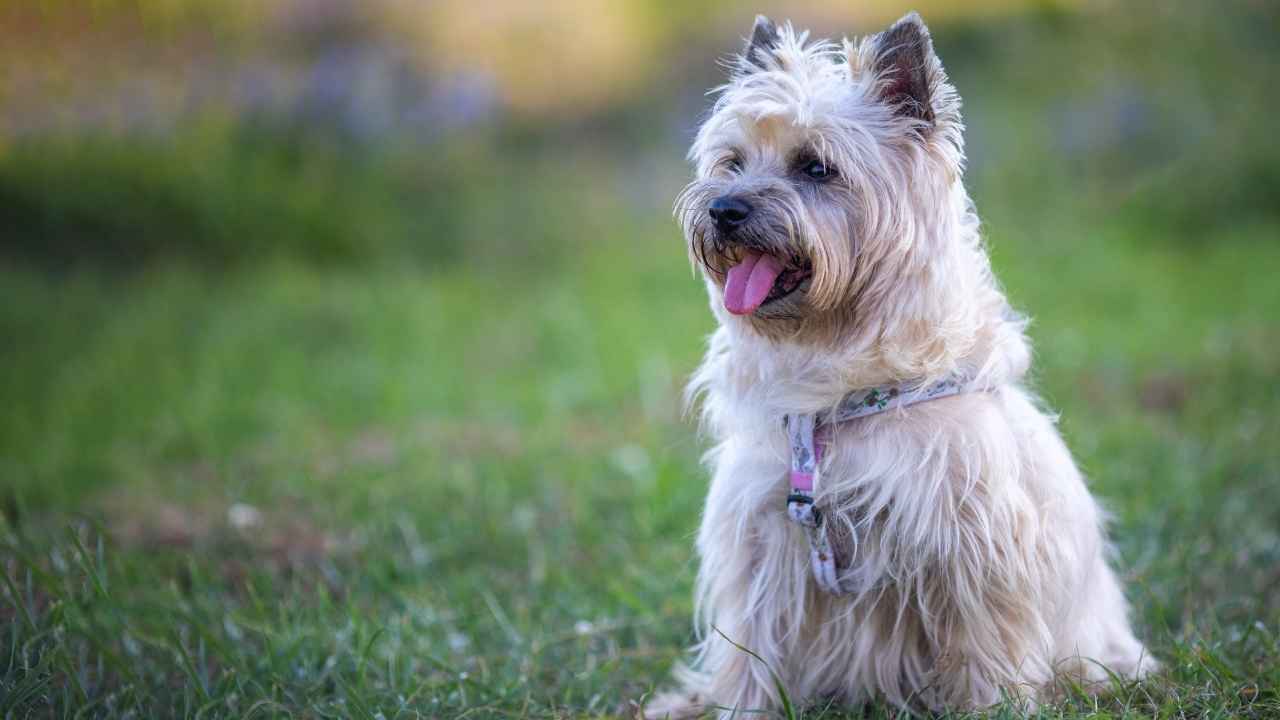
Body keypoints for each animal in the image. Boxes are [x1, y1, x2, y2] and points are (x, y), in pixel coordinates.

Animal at [645, 12, 1157, 717]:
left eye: (817, 167)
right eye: (733, 162)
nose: (724, 209)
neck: (838, 392)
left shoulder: (967, 541)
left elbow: (982, 643)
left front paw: (991, 705)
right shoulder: (762, 538)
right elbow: (751, 647)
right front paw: (740, 708)